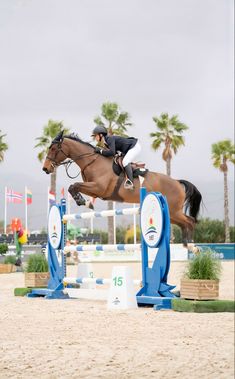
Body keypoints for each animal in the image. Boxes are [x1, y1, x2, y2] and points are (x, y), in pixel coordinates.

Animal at [43, 131, 203, 246]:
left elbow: (74, 185)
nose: (45, 168)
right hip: (172, 213)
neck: (92, 161)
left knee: (189, 221)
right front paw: (85, 202)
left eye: (53, 148)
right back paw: (186, 245)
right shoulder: (95, 190)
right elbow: (73, 187)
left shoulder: (99, 188)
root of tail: (177, 182)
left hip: (174, 210)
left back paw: (191, 246)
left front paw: (82, 201)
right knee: (186, 223)